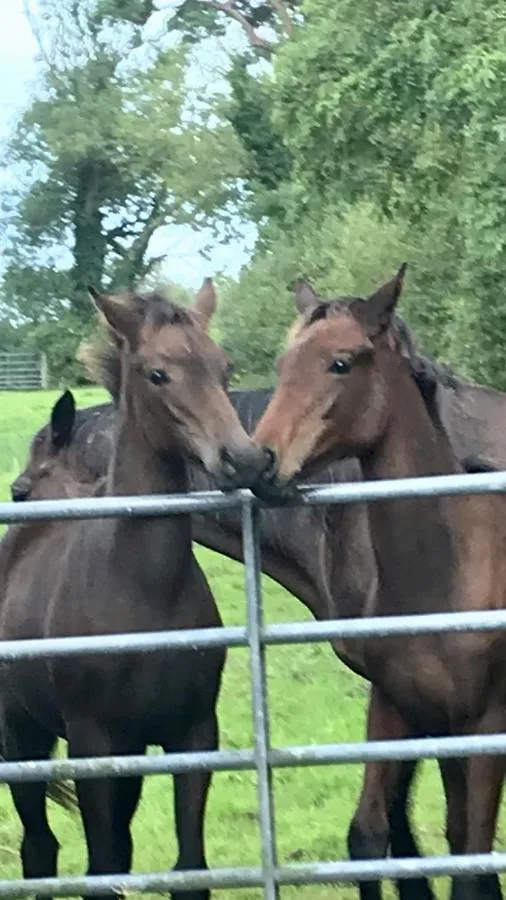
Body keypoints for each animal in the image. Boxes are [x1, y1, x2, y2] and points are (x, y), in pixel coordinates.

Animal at [0, 282, 268, 900]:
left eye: (224, 366)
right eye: (156, 374)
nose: (243, 458)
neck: (143, 593)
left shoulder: (192, 735)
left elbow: (187, 869)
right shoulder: (92, 742)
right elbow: (99, 868)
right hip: (22, 735)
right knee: (40, 848)